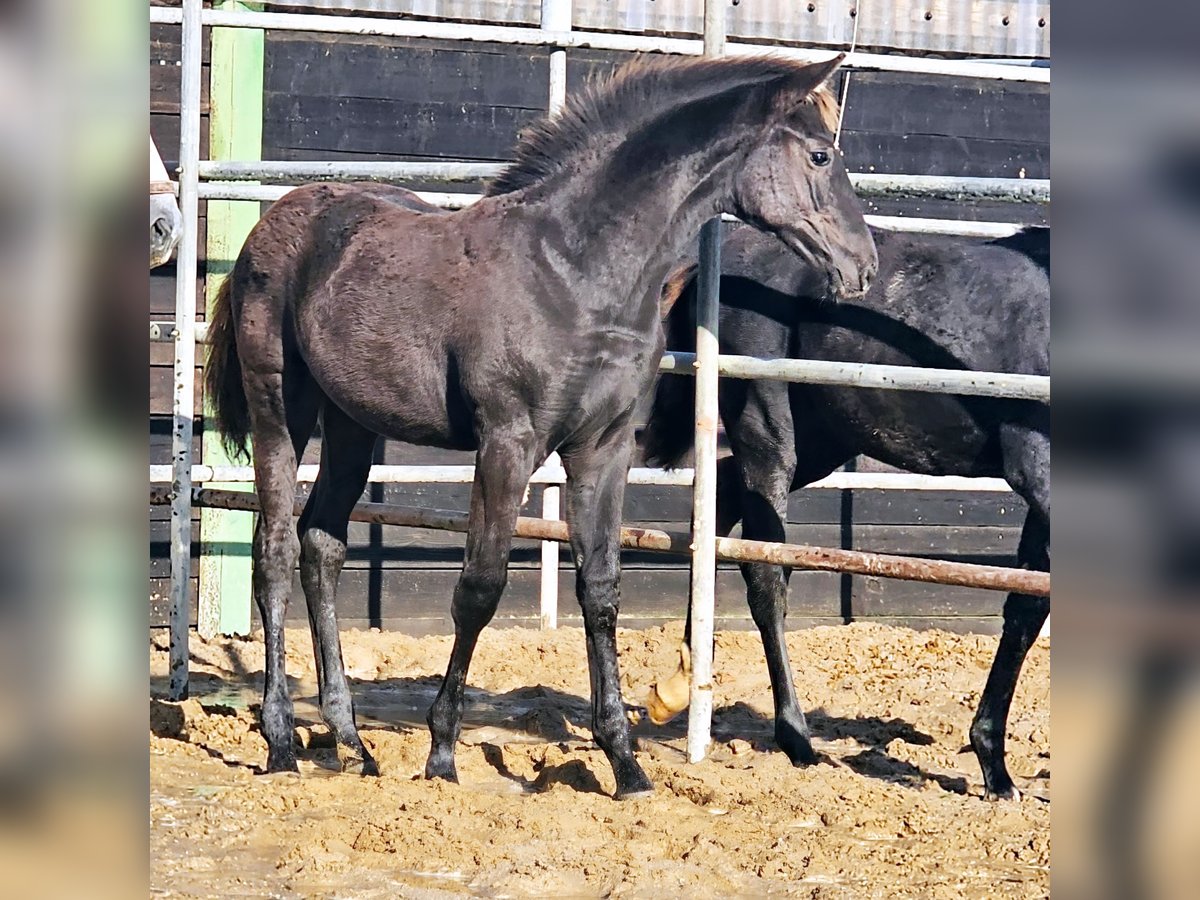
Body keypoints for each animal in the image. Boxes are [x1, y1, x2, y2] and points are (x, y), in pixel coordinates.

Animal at [206, 56, 878, 801]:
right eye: (820, 155)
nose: (863, 267)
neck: (575, 269)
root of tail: (272, 223)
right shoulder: (508, 441)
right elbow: (480, 588)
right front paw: (442, 753)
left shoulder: (603, 450)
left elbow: (601, 592)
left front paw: (626, 763)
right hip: (280, 408)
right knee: (272, 552)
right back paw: (280, 741)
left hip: (353, 425)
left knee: (321, 545)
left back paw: (351, 742)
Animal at [643, 225, 1046, 801]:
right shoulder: (1039, 469)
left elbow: (1026, 609)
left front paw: (996, 769)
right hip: (770, 436)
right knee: (766, 575)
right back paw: (796, 739)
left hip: (819, 443)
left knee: (717, 514)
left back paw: (678, 684)